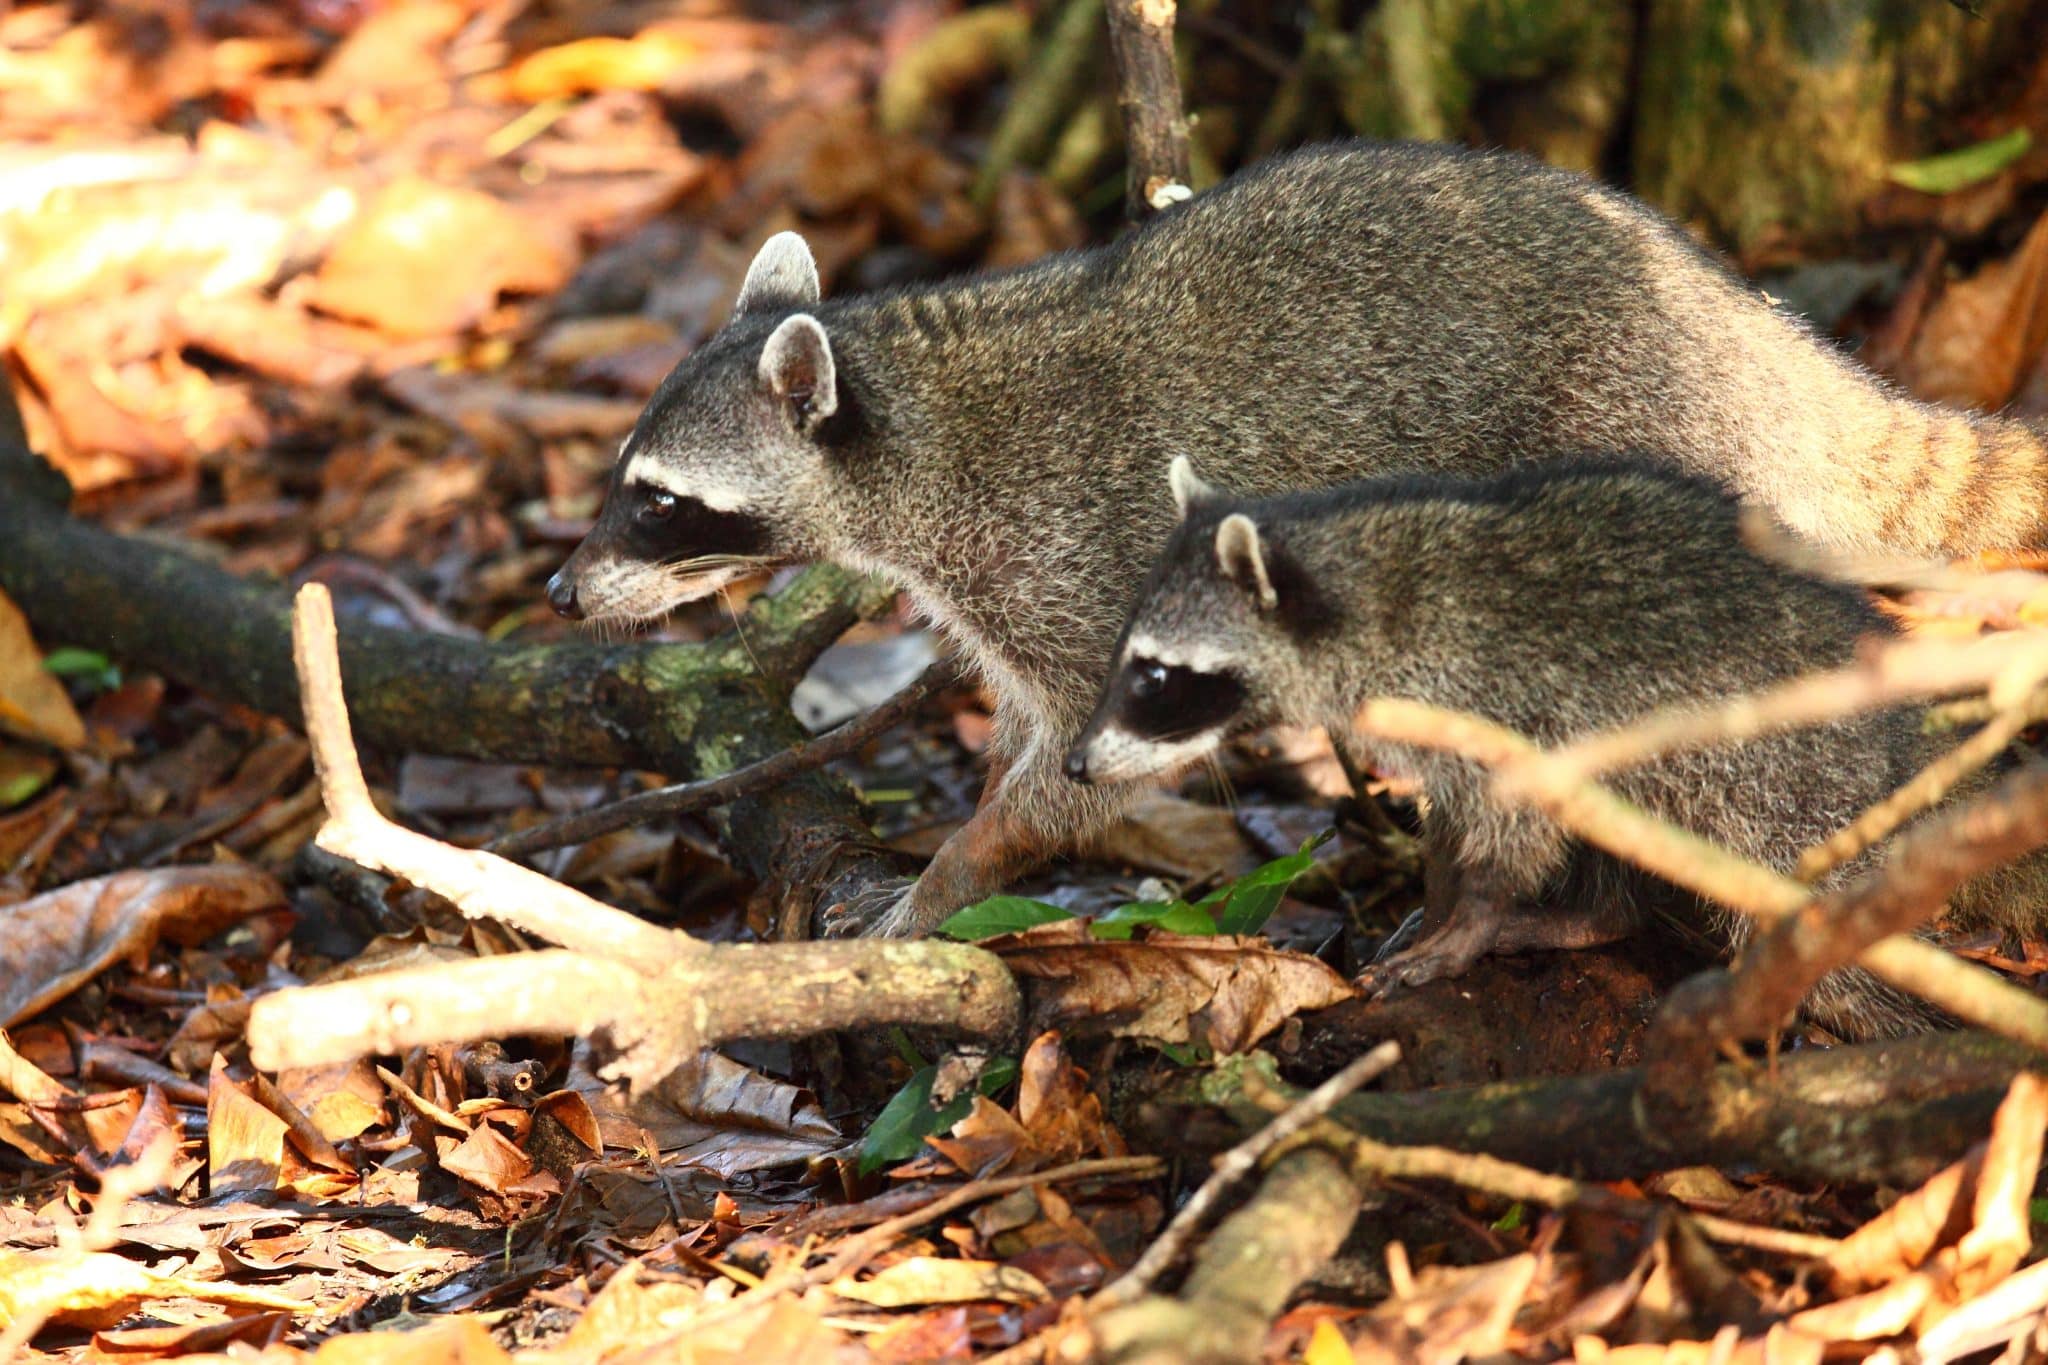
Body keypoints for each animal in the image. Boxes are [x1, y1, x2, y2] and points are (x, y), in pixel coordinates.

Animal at [545, 140, 2048, 941]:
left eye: (657, 503)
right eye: (624, 482)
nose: (558, 591)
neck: (916, 412)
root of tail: (1752, 336)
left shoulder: (1077, 556)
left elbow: (1090, 762)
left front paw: (952, 873)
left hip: (1628, 444)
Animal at [1068, 458, 2048, 1038]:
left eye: (1156, 677)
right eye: (1131, 661)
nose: (1076, 764)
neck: (1358, 596)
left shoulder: (1503, 704)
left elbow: (1516, 833)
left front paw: (1471, 918)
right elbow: (1457, 823)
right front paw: (1442, 893)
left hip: (1802, 799)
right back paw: (1597, 916)